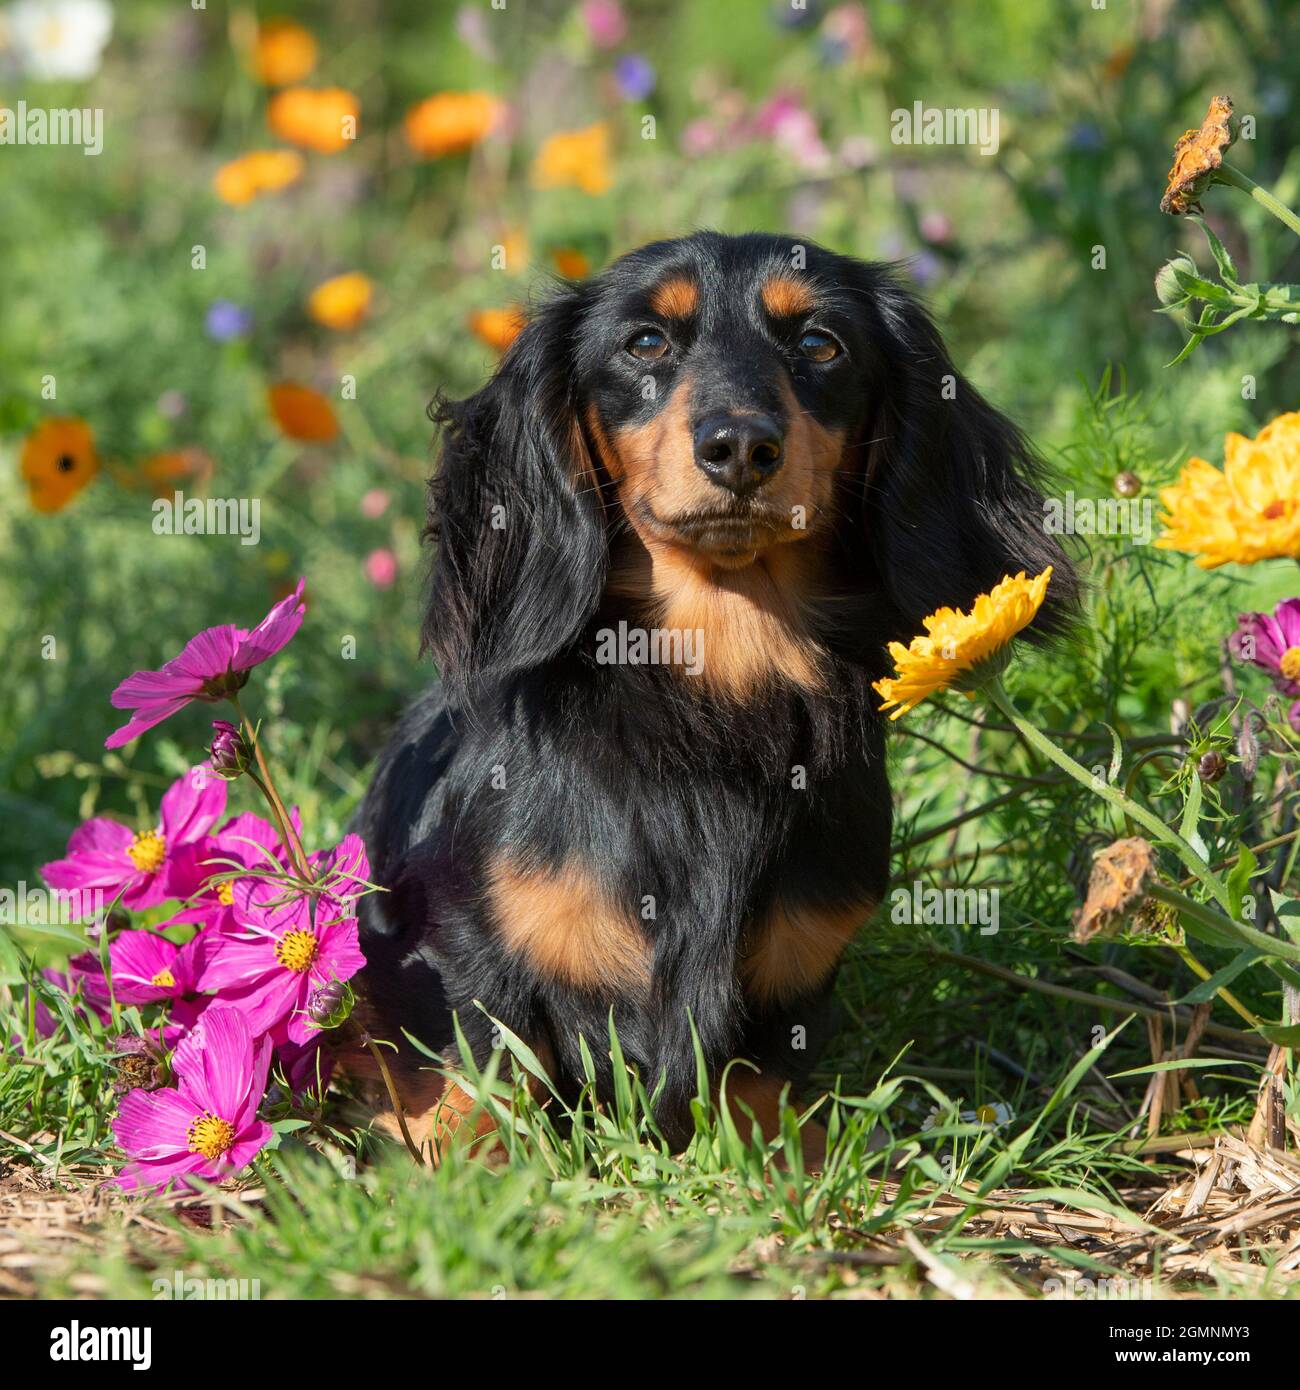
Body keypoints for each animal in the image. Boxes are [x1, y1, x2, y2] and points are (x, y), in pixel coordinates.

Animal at [347, 230, 1078, 1162]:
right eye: (646, 342)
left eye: (821, 344)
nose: (738, 446)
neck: (716, 686)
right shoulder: (469, 955)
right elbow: (490, 1076)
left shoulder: (786, 987)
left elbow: (756, 1092)